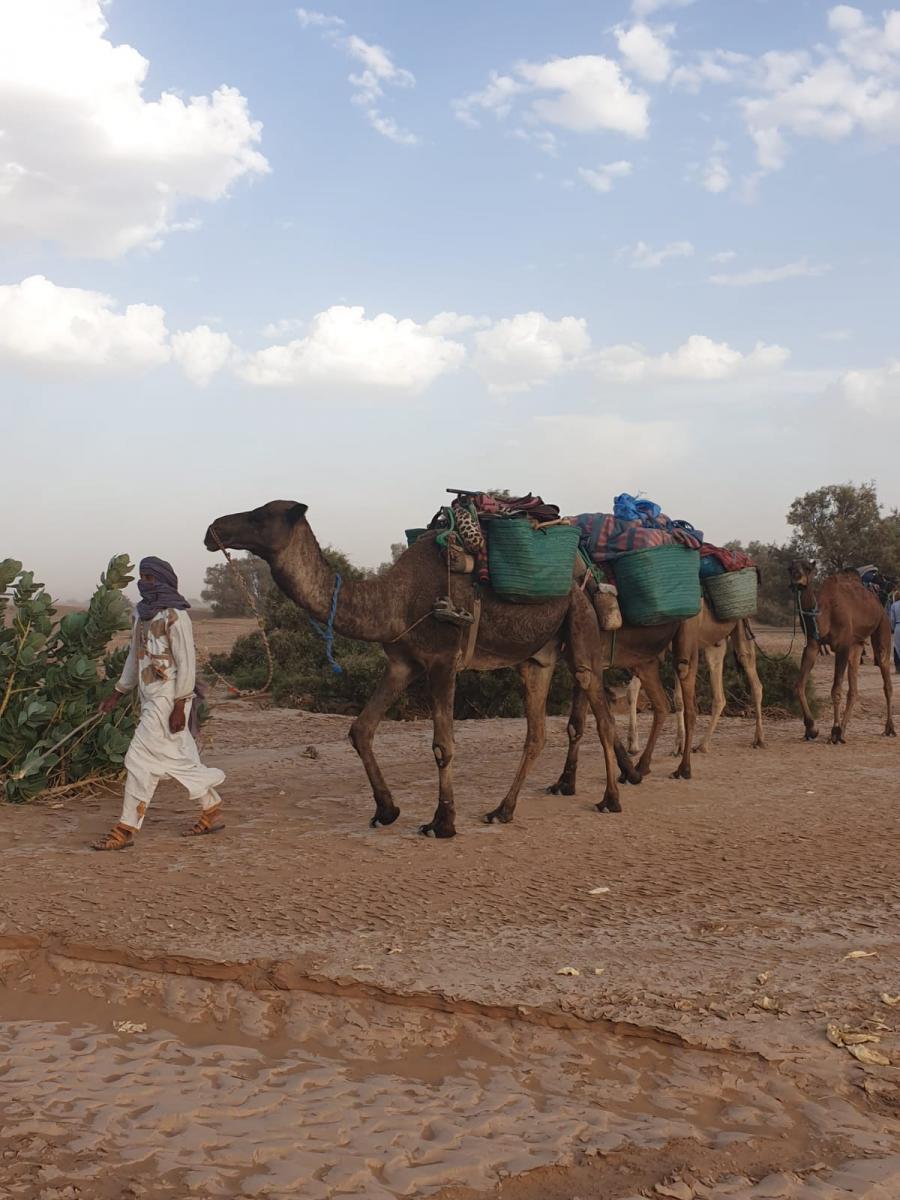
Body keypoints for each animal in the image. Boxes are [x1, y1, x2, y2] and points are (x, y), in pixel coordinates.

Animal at [207, 496, 638, 835]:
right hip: (536, 658)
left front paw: (442, 822)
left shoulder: (443, 660)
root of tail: (585, 573)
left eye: (259, 516)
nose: (212, 530)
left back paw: (611, 799)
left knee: (600, 711)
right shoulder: (402, 663)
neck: (393, 602)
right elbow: (361, 729)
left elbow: (442, 745)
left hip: (581, 623)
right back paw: (502, 811)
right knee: (536, 734)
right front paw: (386, 810)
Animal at [628, 604, 768, 753]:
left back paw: (758, 739)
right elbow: (632, 689)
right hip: (715, 642)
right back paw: (703, 744)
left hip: (741, 628)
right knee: (720, 693)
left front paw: (679, 745)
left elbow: (678, 699)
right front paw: (633, 745)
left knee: (753, 677)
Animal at [787, 559, 897, 744]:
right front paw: (811, 729)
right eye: (790, 569)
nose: (798, 581)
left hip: (882, 626)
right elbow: (799, 684)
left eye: (807, 568)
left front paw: (834, 731)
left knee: (886, 679)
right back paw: (844, 732)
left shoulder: (842, 646)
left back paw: (889, 728)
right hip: (857, 644)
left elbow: (836, 689)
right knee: (854, 688)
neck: (824, 611)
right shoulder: (812, 644)